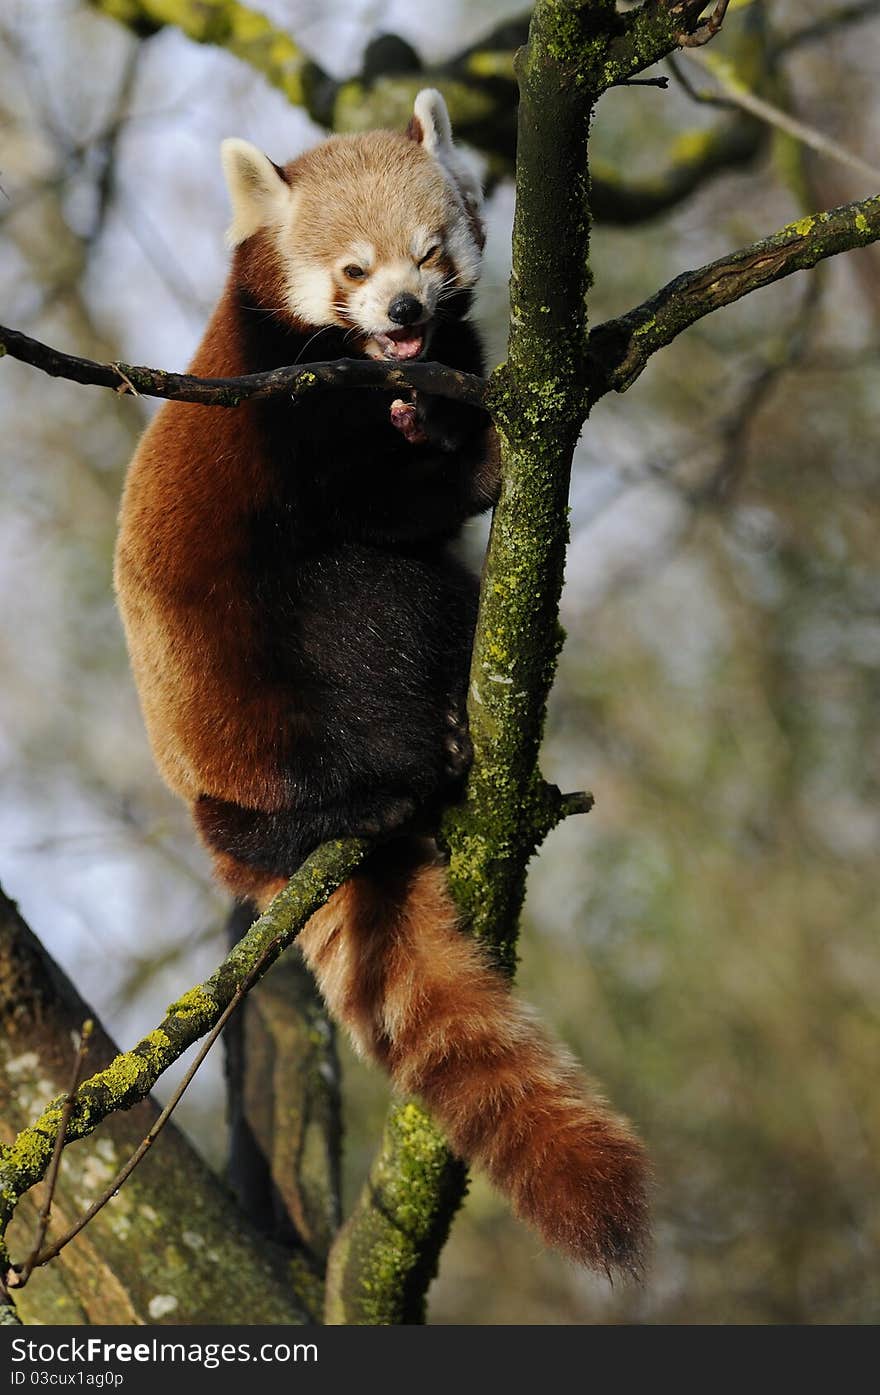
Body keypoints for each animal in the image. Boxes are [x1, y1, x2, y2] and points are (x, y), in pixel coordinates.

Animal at [115, 89, 647, 1277]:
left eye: (430, 251)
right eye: (352, 270)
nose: (403, 308)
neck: (382, 369)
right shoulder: (288, 404)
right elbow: (380, 506)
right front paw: (478, 458)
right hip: (270, 694)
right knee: (377, 600)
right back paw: (413, 759)